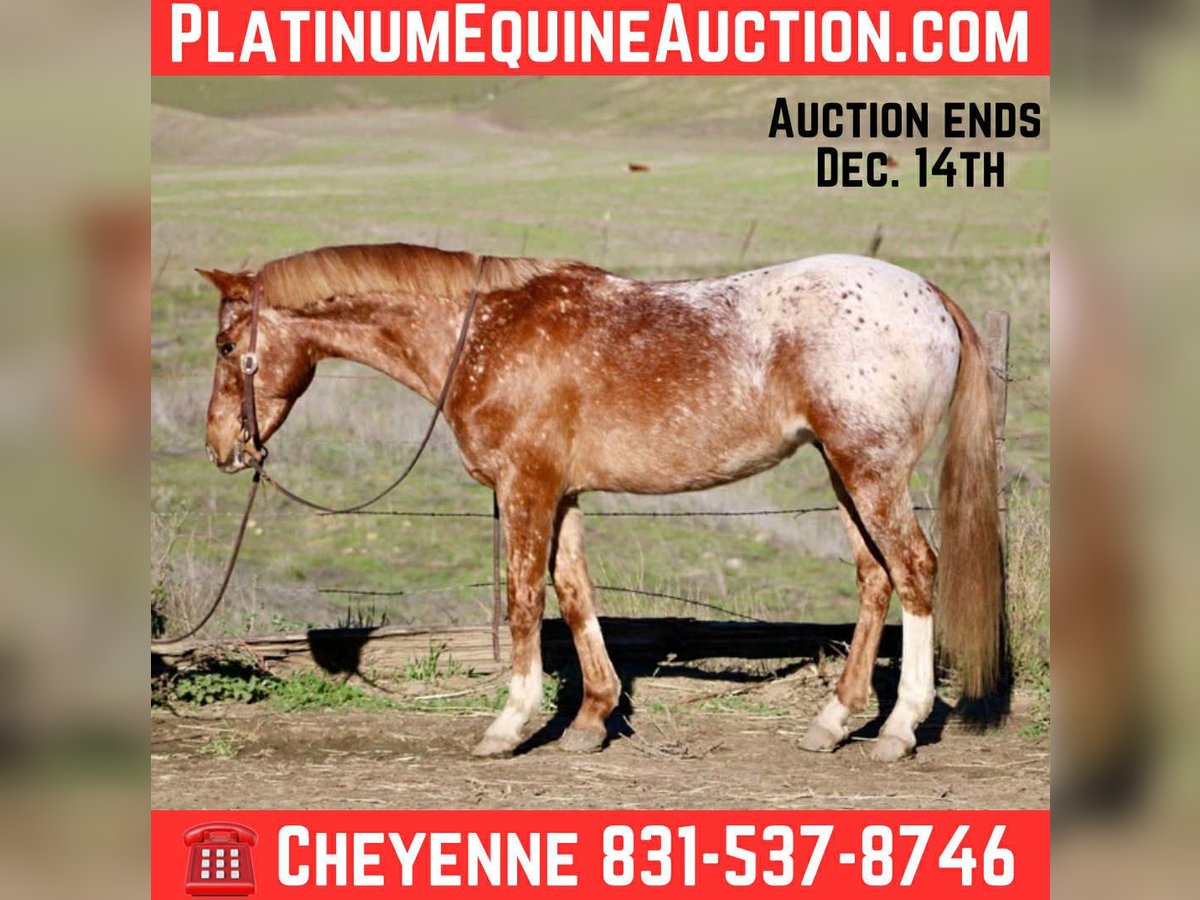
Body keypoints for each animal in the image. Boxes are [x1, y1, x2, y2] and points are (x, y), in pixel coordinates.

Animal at [199, 242, 1002, 762]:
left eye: (223, 345)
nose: (221, 446)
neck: (483, 333)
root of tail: (929, 295)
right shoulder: (563, 491)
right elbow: (575, 592)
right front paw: (591, 717)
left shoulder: (525, 486)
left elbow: (525, 597)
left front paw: (510, 725)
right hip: (843, 471)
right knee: (875, 579)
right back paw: (832, 722)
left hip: (870, 469)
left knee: (915, 571)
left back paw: (898, 729)